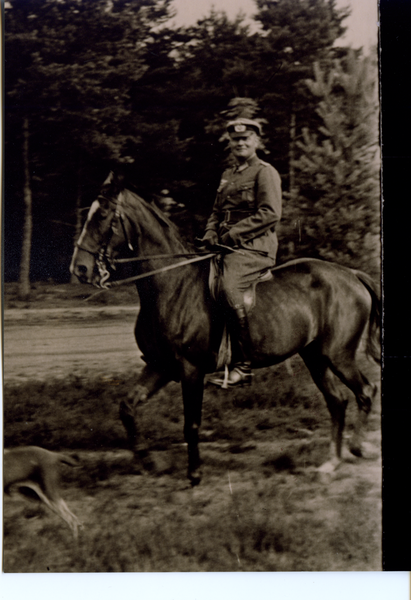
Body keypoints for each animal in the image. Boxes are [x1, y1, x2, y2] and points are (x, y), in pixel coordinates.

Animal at [70, 171, 380, 486]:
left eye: (102, 215)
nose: (79, 269)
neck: (172, 286)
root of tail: (351, 274)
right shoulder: (160, 366)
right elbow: (128, 407)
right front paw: (149, 460)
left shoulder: (190, 369)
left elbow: (192, 424)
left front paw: (194, 473)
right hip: (315, 357)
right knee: (338, 401)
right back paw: (332, 462)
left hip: (338, 355)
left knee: (365, 391)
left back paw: (356, 447)